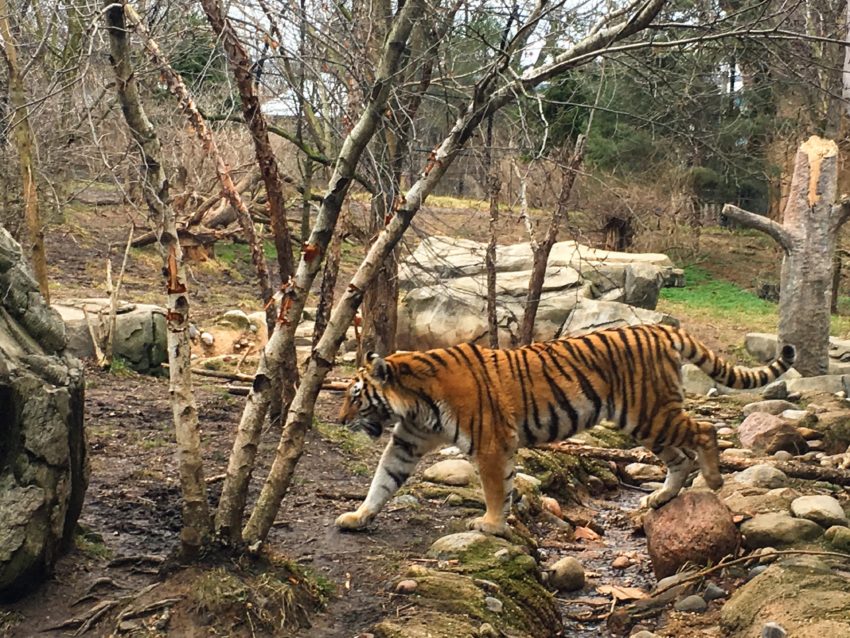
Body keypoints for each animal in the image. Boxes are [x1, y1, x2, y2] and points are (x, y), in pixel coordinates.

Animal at [332, 322, 796, 536]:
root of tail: (661, 326)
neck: (415, 404)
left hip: (651, 413)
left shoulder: (490, 443)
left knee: (704, 429)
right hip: (644, 422)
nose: (338, 420)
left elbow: (494, 488)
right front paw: (357, 516)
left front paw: (490, 524)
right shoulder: (407, 442)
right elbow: (382, 481)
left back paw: (714, 480)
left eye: (355, 395)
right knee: (679, 457)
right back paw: (661, 498)